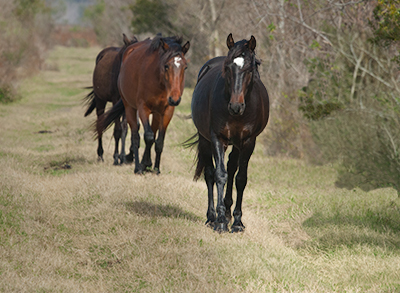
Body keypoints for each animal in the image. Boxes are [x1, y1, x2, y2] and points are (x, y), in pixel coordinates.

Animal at [83, 33, 138, 164]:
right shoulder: (116, 100)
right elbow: (117, 130)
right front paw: (117, 157)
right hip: (100, 101)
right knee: (100, 123)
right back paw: (100, 155)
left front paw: (125, 156)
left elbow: (126, 128)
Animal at [97, 36, 190, 173]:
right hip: (129, 107)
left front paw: (156, 169)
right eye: (166, 66)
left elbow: (159, 141)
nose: (175, 99)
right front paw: (141, 166)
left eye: (185, 67)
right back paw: (137, 166)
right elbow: (148, 137)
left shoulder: (167, 111)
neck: (159, 81)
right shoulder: (143, 108)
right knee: (135, 134)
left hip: (156, 113)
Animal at [190, 33, 268, 232]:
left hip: (237, 144)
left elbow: (240, 178)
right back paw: (212, 216)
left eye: (249, 68)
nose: (235, 106)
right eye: (227, 68)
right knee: (210, 173)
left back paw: (227, 212)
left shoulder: (248, 142)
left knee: (232, 167)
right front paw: (220, 221)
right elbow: (220, 175)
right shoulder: (217, 138)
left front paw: (237, 222)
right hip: (205, 139)